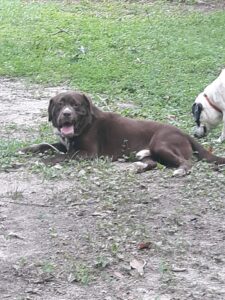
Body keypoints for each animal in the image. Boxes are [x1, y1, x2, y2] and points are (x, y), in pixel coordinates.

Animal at [21, 91, 225, 176]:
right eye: (60, 105)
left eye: (75, 105)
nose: (66, 114)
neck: (85, 124)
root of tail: (183, 133)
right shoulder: (65, 144)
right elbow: (46, 145)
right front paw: (26, 150)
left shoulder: (86, 153)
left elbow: (61, 156)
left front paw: (42, 161)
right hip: (150, 151)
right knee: (152, 162)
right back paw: (137, 166)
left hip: (161, 143)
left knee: (187, 163)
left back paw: (180, 171)